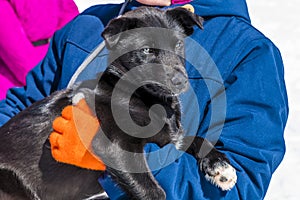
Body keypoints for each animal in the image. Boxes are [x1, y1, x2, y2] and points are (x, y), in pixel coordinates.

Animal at [0, 7, 237, 199]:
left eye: (178, 44)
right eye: (146, 50)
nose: (180, 81)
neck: (148, 99)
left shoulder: (169, 138)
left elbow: (197, 139)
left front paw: (220, 165)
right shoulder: (116, 147)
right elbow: (153, 191)